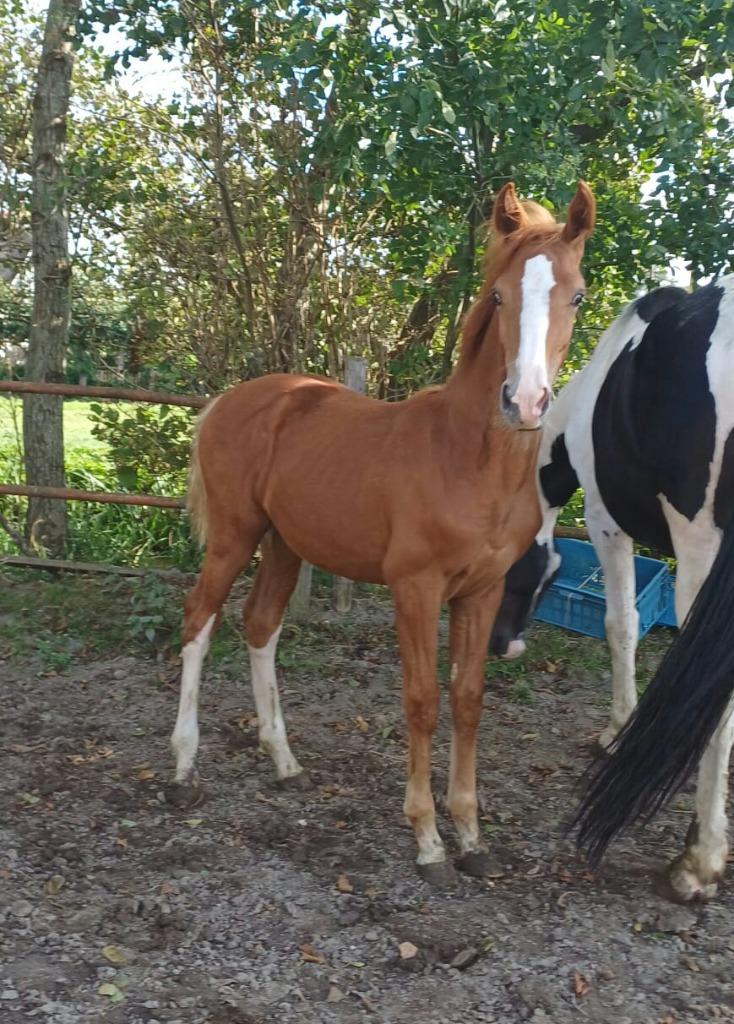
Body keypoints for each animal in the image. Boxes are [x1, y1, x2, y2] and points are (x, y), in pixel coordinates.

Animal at [167, 181, 596, 884]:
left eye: (578, 295)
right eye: (499, 295)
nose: (525, 401)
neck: (470, 460)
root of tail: (230, 400)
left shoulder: (481, 591)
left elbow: (469, 698)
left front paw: (471, 835)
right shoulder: (415, 589)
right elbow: (422, 700)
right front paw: (426, 839)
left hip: (285, 544)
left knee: (260, 624)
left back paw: (285, 762)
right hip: (234, 537)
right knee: (199, 619)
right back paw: (182, 767)